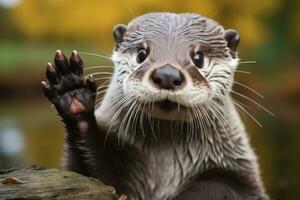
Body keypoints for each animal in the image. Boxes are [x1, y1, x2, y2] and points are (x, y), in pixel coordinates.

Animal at [40, 12, 270, 200]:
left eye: (198, 58)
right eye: (142, 53)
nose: (167, 74)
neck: (164, 168)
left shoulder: (238, 170)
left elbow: (220, 186)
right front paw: (72, 90)